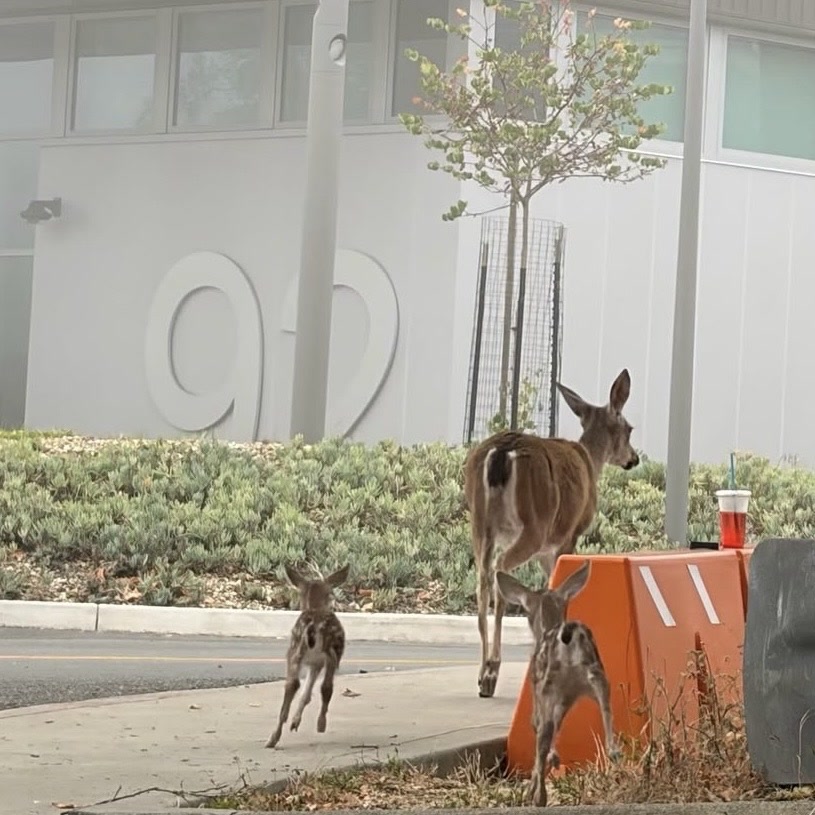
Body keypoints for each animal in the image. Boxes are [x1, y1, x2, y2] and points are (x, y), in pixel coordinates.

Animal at [265, 563, 350, 749]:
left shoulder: (315, 662)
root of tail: (314, 625)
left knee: (293, 683)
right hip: (329, 653)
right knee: (326, 687)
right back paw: (320, 724)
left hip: (295, 650)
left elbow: (306, 693)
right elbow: (310, 693)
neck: (315, 606)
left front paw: (295, 722)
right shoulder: (318, 662)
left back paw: (274, 737)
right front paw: (297, 722)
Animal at [463, 368, 639, 699]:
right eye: (630, 429)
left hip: (480, 524)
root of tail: (500, 453)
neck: (591, 461)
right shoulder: (567, 536)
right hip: (534, 523)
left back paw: (481, 675)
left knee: (481, 581)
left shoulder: (548, 550)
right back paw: (492, 671)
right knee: (499, 571)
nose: (634, 459)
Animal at [495, 560, 618, 807]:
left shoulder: (540, 694)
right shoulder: (564, 700)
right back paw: (613, 751)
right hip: (596, 674)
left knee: (543, 732)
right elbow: (557, 729)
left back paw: (539, 797)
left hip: (549, 683)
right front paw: (553, 761)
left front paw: (533, 787)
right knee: (606, 708)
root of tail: (567, 633)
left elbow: (539, 729)